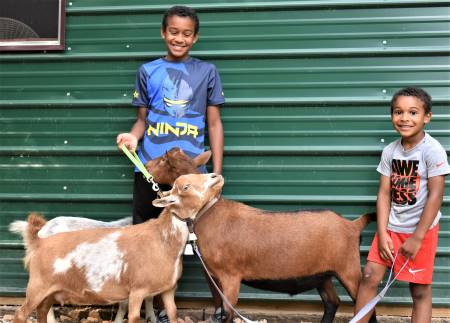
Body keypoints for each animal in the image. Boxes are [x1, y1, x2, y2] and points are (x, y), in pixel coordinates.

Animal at [11, 173, 225, 323]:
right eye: (186, 186)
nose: (216, 176)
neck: (162, 239)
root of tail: (38, 240)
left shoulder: (168, 289)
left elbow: (172, 314)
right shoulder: (137, 290)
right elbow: (133, 316)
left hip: (51, 290)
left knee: (42, 311)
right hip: (38, 285)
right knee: (21, 313)